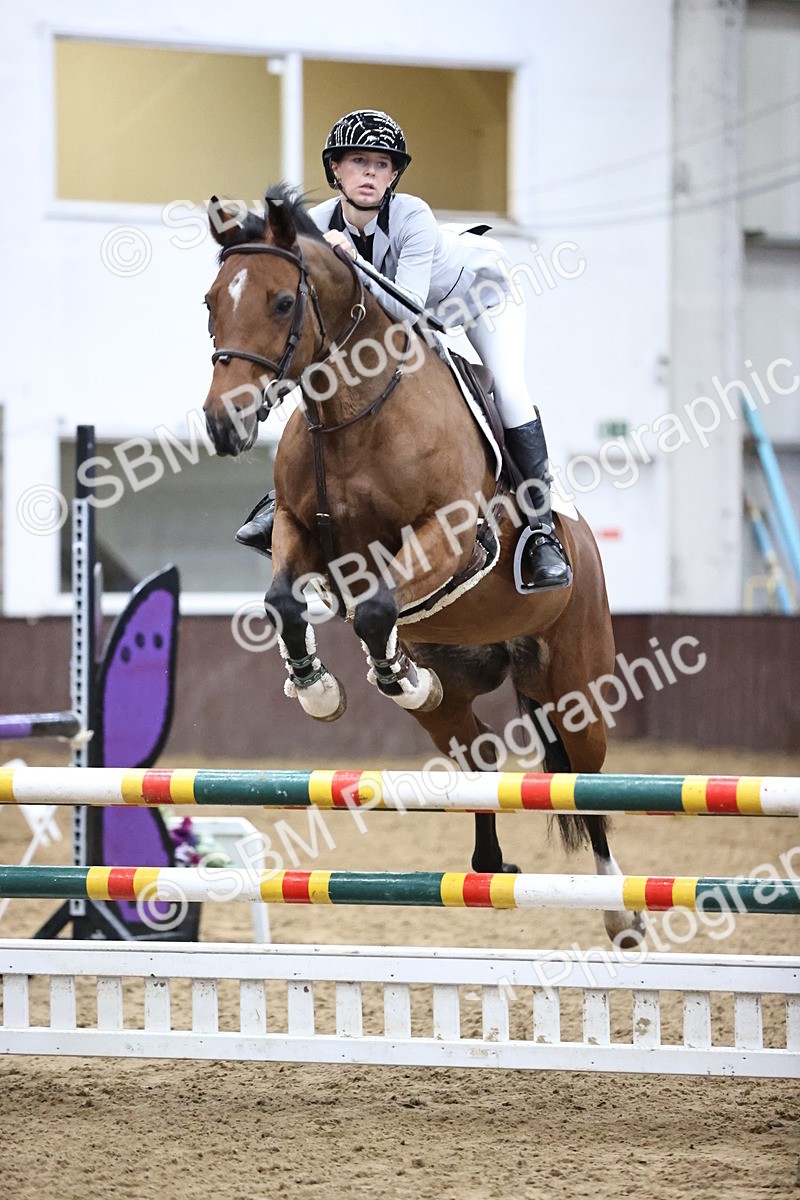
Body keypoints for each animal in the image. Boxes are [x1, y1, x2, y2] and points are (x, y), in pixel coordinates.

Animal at [202, 185, 644, 948]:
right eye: (209, 303)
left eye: (282, 303)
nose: (223, 425)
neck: (351, 410)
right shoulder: (296, 529)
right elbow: (286, 603)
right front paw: (318, 688)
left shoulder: (452, 535)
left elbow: (379, 605)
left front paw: (389, 673)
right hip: (464, 690)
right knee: (479, 757)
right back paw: (486, 863)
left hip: (574, 683)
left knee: (585, 784)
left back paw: (619, 911)